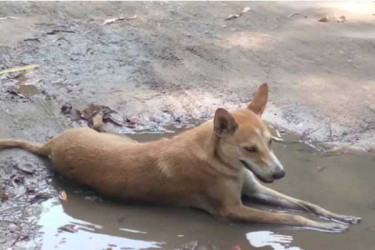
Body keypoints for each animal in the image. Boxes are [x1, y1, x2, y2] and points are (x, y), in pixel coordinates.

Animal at [0, 83, 360, 232]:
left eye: (271, 142)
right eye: (250, 148)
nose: (280, 173)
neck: (217, 157)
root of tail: (51, 144)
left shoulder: (256, 190)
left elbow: (305, 204)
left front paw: (336, 216)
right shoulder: (234, 211)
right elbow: (288, 217)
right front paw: (322, 227)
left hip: (116, 138)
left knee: (100, 127)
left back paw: (100, 118)